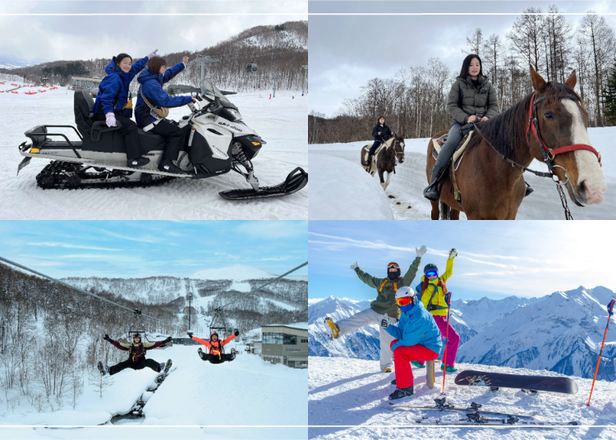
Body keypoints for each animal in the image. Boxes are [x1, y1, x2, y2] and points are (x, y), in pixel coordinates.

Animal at [426, 67, 604, 220]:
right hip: (435, 200)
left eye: (586, 115)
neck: (497, 172)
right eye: (548, 115)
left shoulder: (510, 215)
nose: (593, 188)